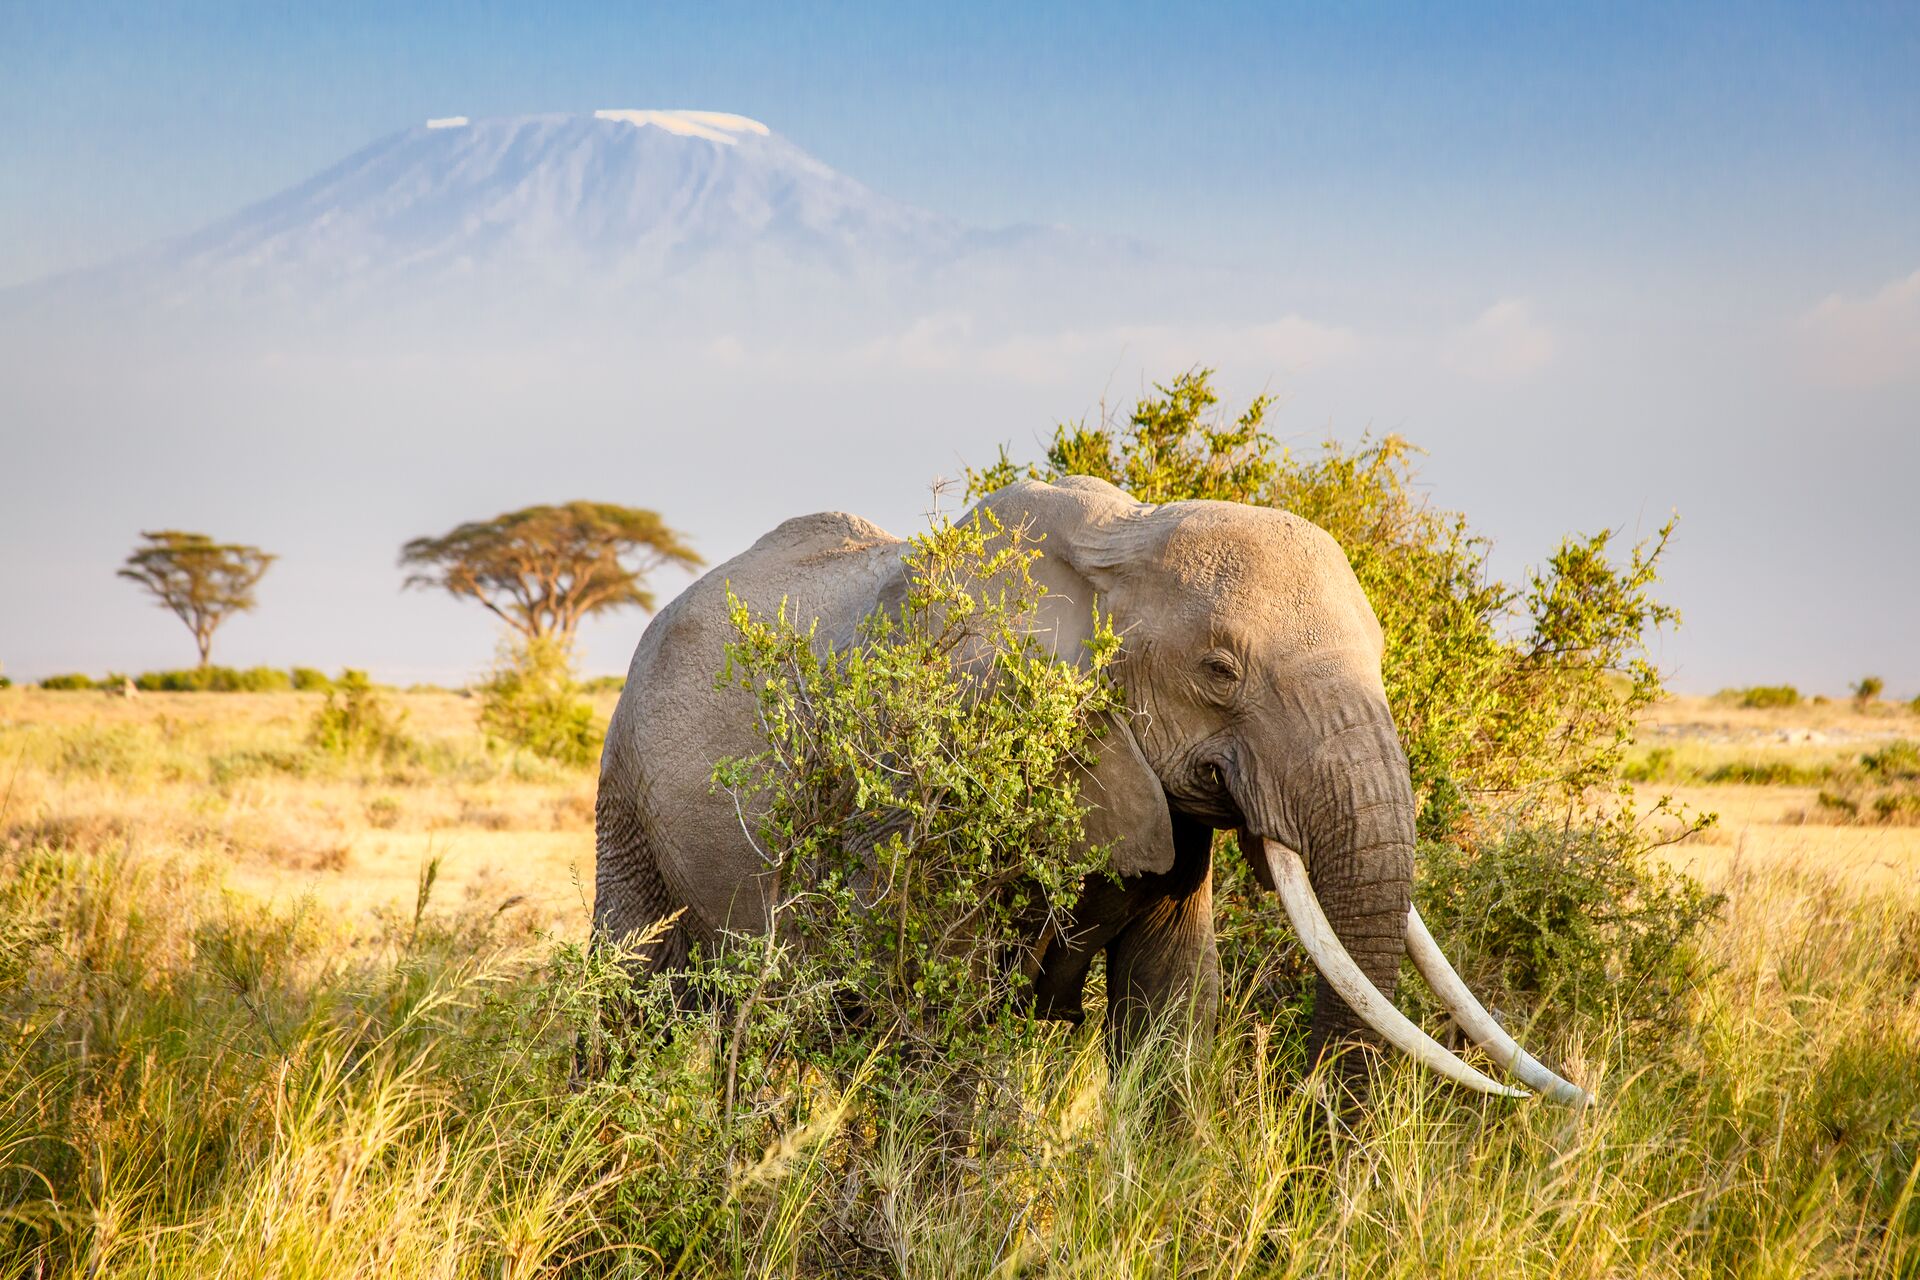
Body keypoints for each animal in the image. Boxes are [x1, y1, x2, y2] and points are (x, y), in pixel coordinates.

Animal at [593, 476, 1586, 1104]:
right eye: (1220, 671)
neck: (1120, 545)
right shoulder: (931, 763)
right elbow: (941, 1007)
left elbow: (1174, 1009)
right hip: (625, 788)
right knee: (627, 993)